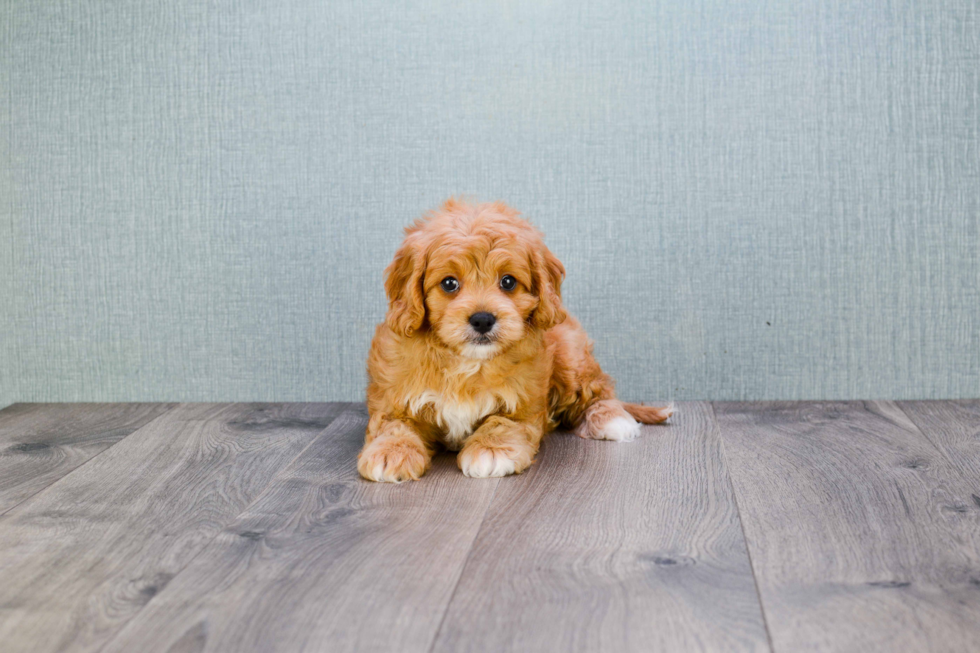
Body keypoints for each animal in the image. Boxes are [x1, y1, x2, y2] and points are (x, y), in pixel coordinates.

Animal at [360, 197, 672, 478]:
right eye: (449, 283)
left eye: (508, 281)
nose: (482, 319)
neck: (468, 362)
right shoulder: (395, 395)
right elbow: (393, 423)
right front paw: (390, 452)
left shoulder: (523, 403)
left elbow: (503, 422)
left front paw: (491, 450)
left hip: (570, 357)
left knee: (599, 389)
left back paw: (612, 420)